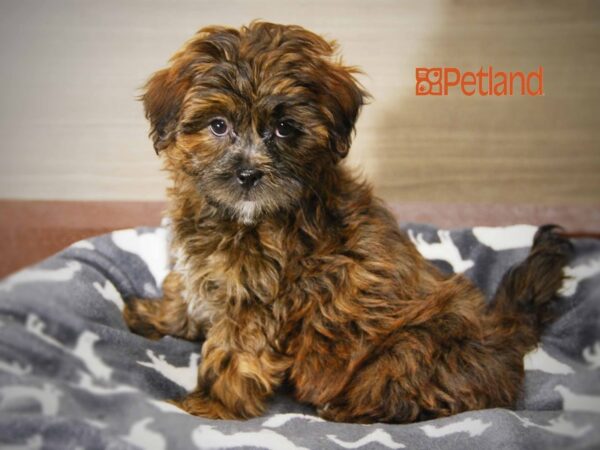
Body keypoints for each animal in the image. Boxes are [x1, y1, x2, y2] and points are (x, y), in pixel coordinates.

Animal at [123, 22, 572, 424]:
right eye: (218, 125)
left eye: (284, 129)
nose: (248, 175)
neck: (241, 217)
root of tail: (501, 337)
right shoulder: (207, 271)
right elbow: (185, 291)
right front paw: (154, 315)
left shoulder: (256, 302)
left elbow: (233, 354)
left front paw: (209, 407)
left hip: (412, 347)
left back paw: (343, 410)